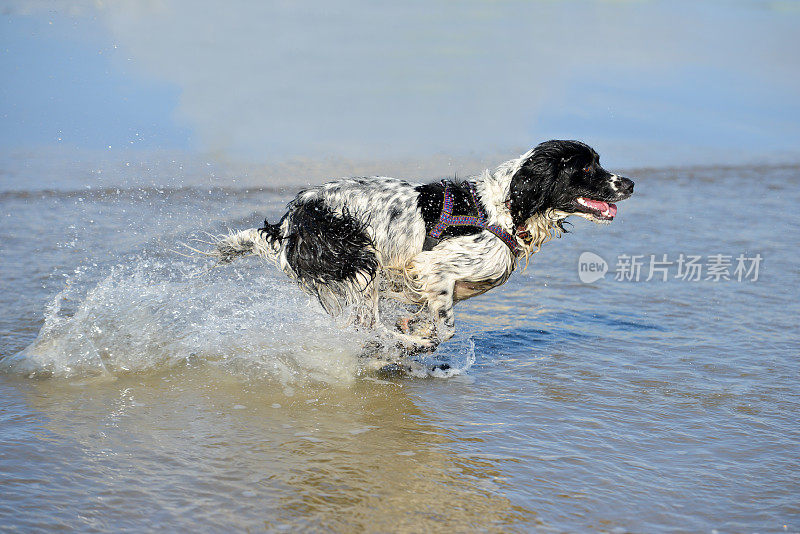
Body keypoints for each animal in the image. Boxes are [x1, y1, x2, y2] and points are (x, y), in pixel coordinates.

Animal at [209, 140, 636, 354]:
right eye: (587, 167)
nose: (630, 183)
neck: (502, 208)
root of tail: (292, 221)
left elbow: (426, 311)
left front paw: (413, 325)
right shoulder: (434, 266)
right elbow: (444, 327)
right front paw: (419, 337)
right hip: (361, 259)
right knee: (367, 324)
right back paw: (405, 345)